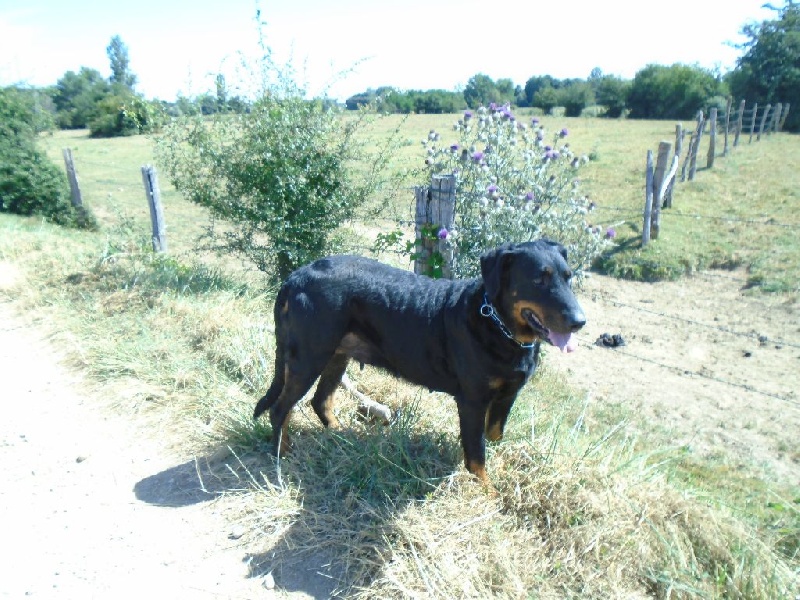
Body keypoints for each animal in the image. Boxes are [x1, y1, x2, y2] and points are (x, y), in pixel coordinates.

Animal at [256, 239, 588, 482]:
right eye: (539, 280)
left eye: (568, 278)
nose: (579, 321)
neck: (498, 325)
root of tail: (296, 277)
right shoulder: (472, 400)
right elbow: (477, 454)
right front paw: (486, 491)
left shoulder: (508, 393)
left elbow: (494, 433)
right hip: (309, 357)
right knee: (280, 409)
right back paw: (282, 454)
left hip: (338, 355)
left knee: (321, 400)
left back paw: (340, 436)